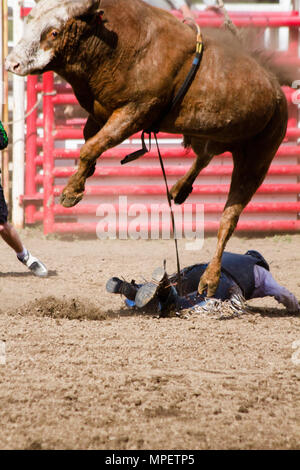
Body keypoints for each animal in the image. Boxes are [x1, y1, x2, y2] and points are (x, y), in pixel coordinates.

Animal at [5, 0, 294, 294]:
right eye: (29, 21)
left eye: (54, 32)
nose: (12, 62)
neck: (116, 43)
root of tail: (276, 89)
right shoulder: (100, 113)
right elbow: (90, 141)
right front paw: (84, 176)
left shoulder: (135, 112)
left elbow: (92, 147)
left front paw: (71, 192)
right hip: (213, 135)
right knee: (204, 156)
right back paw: (179, 189)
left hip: (258, 157)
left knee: (229, 218)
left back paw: (210, 279)